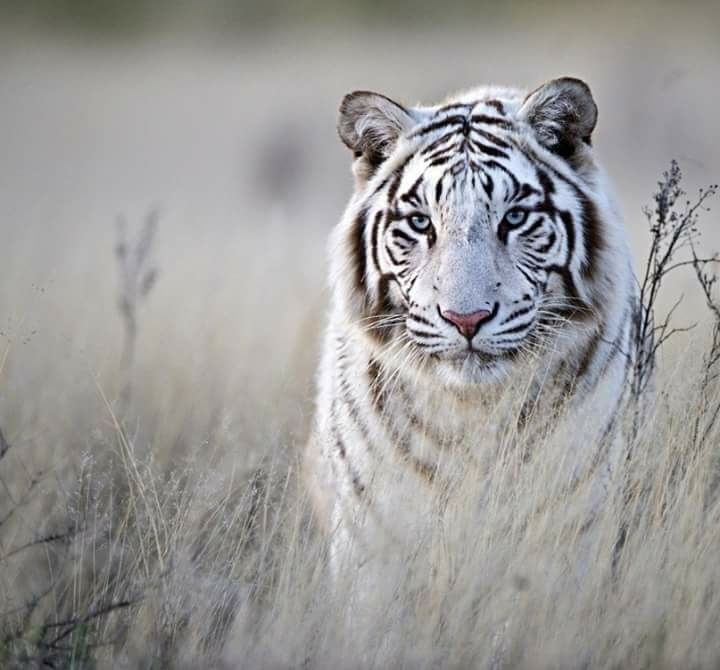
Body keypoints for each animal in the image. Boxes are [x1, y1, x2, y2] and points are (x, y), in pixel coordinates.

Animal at [303, 77, 641, 626]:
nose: (466, 319)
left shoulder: (569, 530)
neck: (474, 412)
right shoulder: (375, 541)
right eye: (421, 223)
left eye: (515, 218)